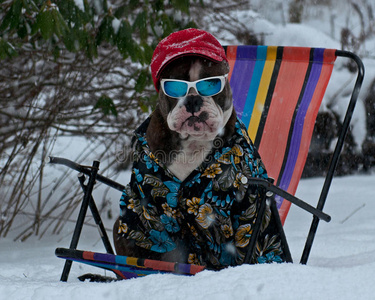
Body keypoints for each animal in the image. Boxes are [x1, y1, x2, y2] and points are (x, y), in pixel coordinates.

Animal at [113, 28, 286, 270]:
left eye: (210, 84)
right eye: (175, 86)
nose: (193, 100)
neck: (194, 142)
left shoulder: (246, 209)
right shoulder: (156, 217)